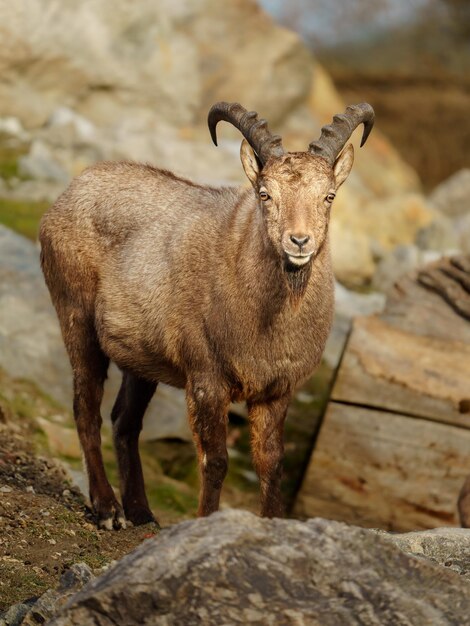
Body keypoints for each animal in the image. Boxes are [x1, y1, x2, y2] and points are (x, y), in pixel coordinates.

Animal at [39, 101, 374, 528]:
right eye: (264, 193)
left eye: (329, 195)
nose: (299, 241)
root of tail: (71, 189)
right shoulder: (207, 378)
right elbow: (214, 461)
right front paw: (206, 522)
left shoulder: (276, 391)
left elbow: (271, 464)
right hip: (76, 316)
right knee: (86, 408)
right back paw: (108, 508)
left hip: (141, 358)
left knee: (124, 420)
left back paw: (141, 511)